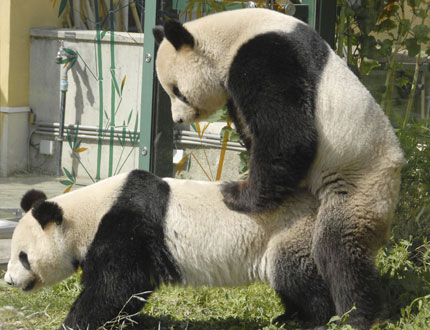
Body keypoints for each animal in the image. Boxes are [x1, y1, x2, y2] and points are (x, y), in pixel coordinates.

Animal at [2, 170, 336, 330]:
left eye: (23, 257)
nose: (9, 281)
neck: (87, 213)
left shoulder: (123, 226)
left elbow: (114, 286)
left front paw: (73, 323)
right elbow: (132, 291)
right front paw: (123, 320)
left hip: (290, 231)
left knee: (303, 278)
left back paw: (320, 319)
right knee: (289, 283)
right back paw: (289, 318)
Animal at [154, 7, 406, 330]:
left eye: (178, 92)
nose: (178, 120)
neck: (229, 35)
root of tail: (395, 168)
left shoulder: (266, 56)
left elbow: (288, 134)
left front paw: (238, 195)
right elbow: (256, 133)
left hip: (361, 180)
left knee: (340, 248)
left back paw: (357, 316)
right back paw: (292, 315)